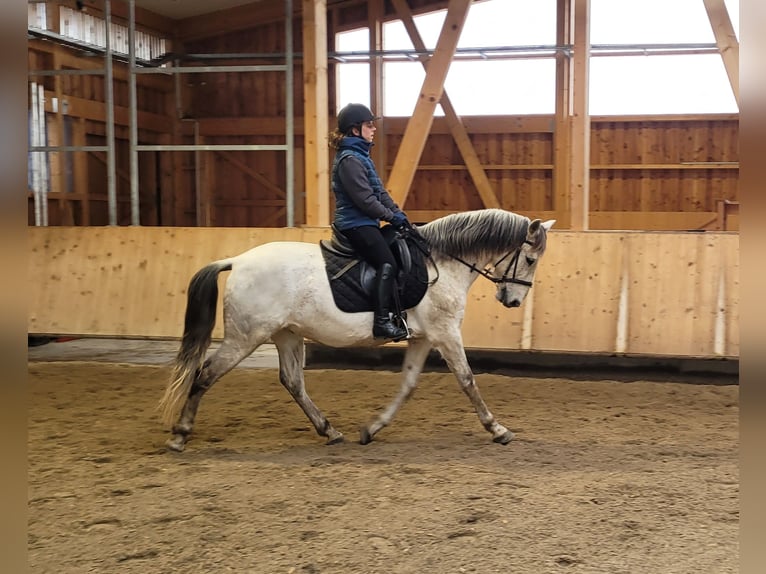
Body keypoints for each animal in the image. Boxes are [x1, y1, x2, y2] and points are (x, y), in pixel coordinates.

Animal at [158, 209, 555, 452]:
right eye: (529, 259)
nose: (513, 300)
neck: (440, 262)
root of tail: (238, 260)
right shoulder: (445, 334)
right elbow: (468, 380)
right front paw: (498, 429)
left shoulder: (424, 337)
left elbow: (408, 385)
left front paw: (372, 428)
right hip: (246, 336)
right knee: (205, 373)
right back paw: (180, 435)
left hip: (286, 333)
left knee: (292, 381)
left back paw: (330, 431)